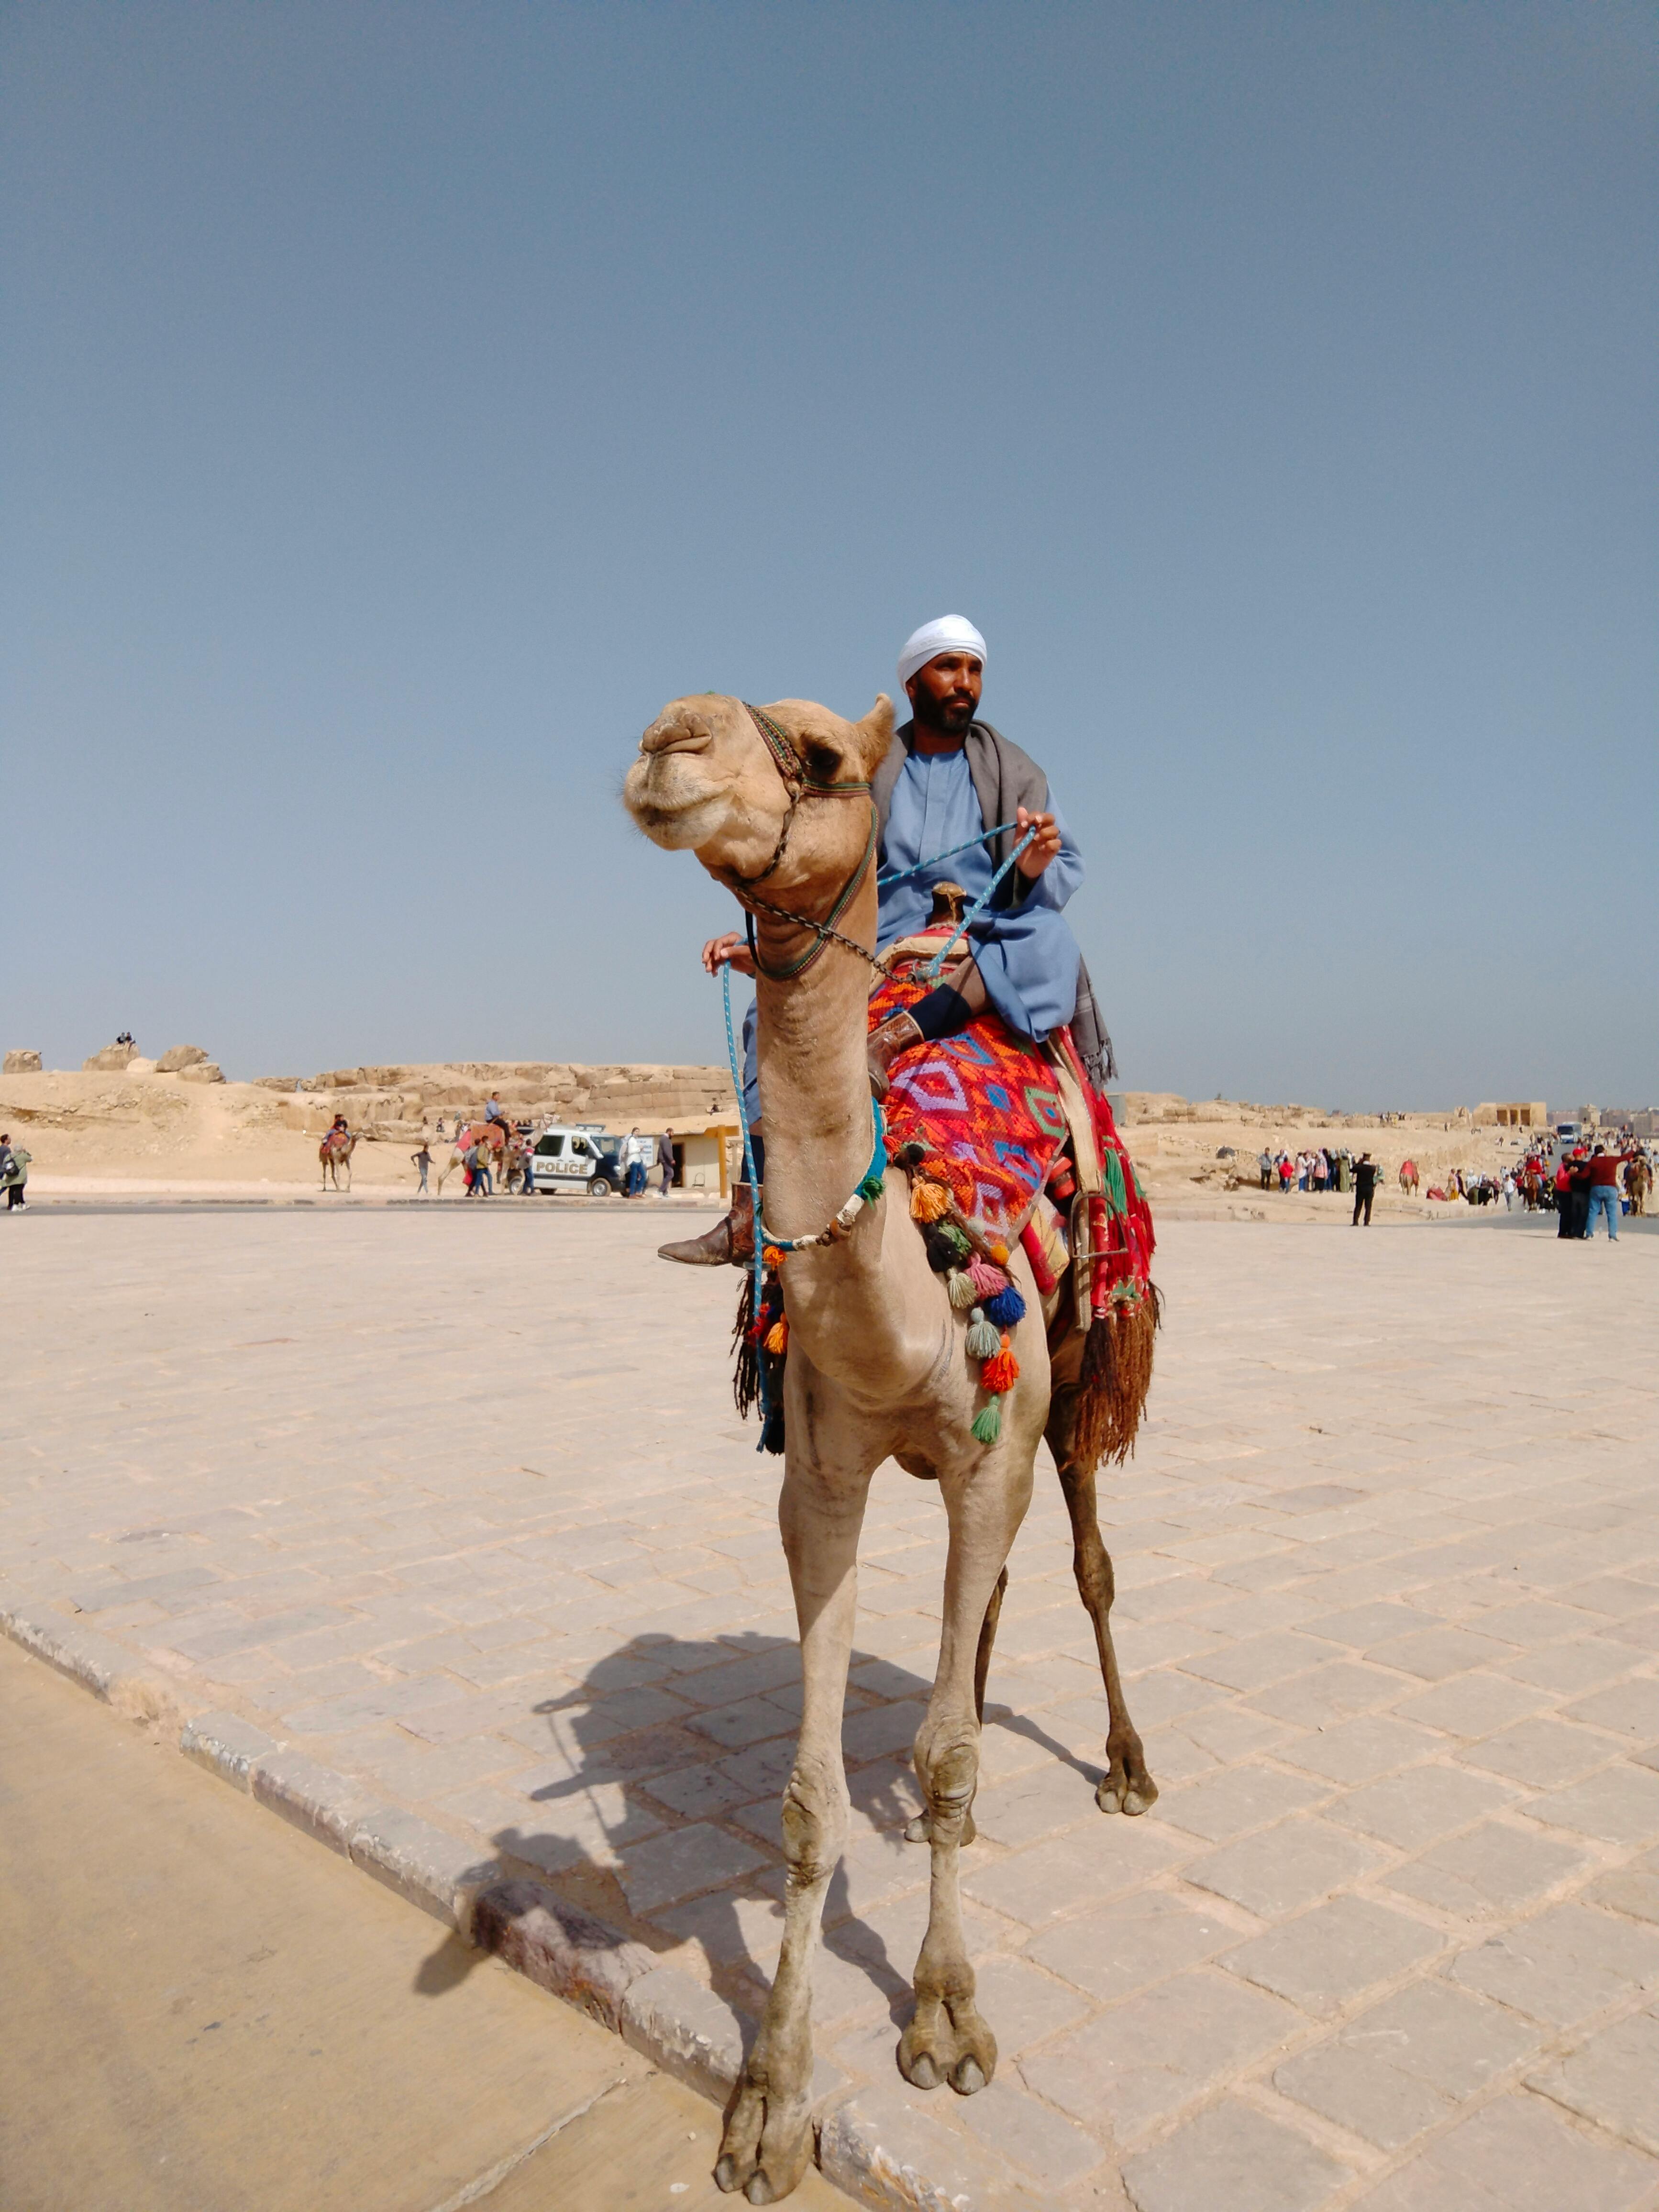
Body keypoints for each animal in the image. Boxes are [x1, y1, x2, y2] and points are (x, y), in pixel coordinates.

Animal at [624, 691, 1155, 2204]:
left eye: (819, 758)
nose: (668, 739)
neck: (902, 1287)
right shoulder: (821, 1476)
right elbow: (811, 1801)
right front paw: (770, 2098)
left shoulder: (993, 1444)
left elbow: (947, 1760)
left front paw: (945, 2014)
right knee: (989, 1606)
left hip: (1075, 1387)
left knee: (1083, 1564)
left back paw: (1124, 1761)